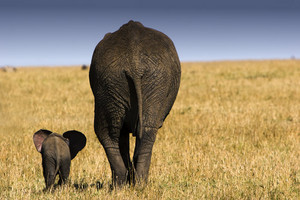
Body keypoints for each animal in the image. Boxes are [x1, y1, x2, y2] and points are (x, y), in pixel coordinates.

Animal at [88, 20, 179, 186]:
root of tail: (134, 64)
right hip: (120, 81)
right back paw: (132, 184)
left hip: (116, 81)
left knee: (114, 132)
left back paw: (128, 184)